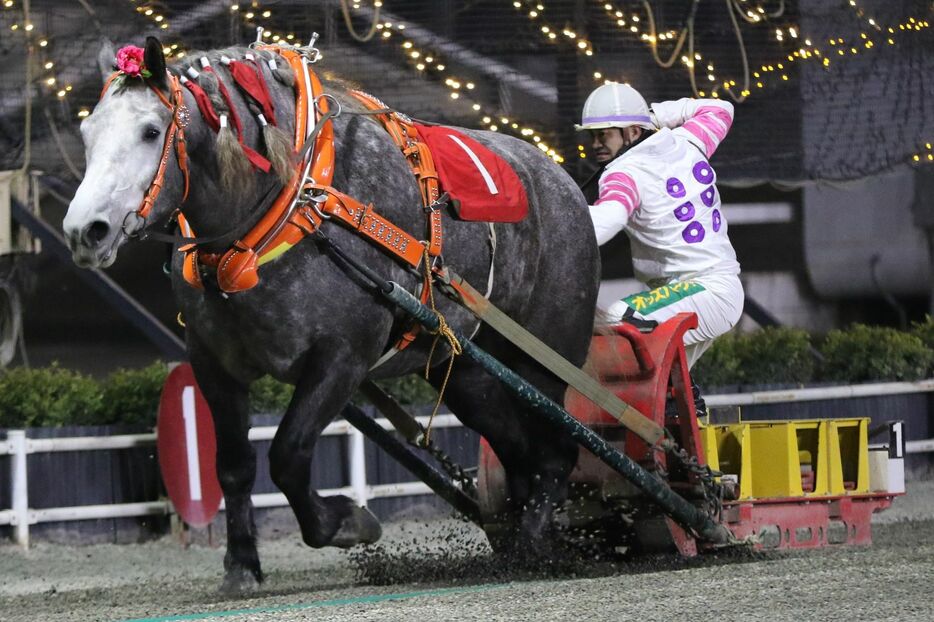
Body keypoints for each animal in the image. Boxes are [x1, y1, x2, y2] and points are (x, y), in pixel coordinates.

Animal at [62, 36, 600, 592]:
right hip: (464, 370)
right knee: (517, 451)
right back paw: (515, 537)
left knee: (556, 453)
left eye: (151, 131)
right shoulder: (212, 361)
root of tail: (561, 179)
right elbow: (233, 465)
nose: (86, 231)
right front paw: (242, 563)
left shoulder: (343, 358)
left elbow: (289, 454)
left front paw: (345, 522)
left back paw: (535, 544)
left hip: (543, 357)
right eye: (87, 131)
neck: (294, 208)